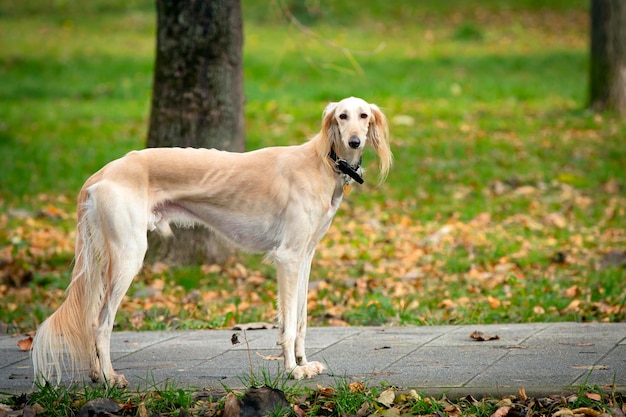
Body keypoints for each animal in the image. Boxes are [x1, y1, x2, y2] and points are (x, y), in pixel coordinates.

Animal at [31, 96, 390, 386]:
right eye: (342, 116)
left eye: (364, 115)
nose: (355, 142)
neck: (321, 162)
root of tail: (101, 173)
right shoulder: (287, 256)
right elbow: (288, 325)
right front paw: (291, 370)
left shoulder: (305, 256)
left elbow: (300, 320)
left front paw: (303, 363)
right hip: (128, 256)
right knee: (101, 323)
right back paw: (108, 377)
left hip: (102, 256)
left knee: (90, 317)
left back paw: (96, 374)